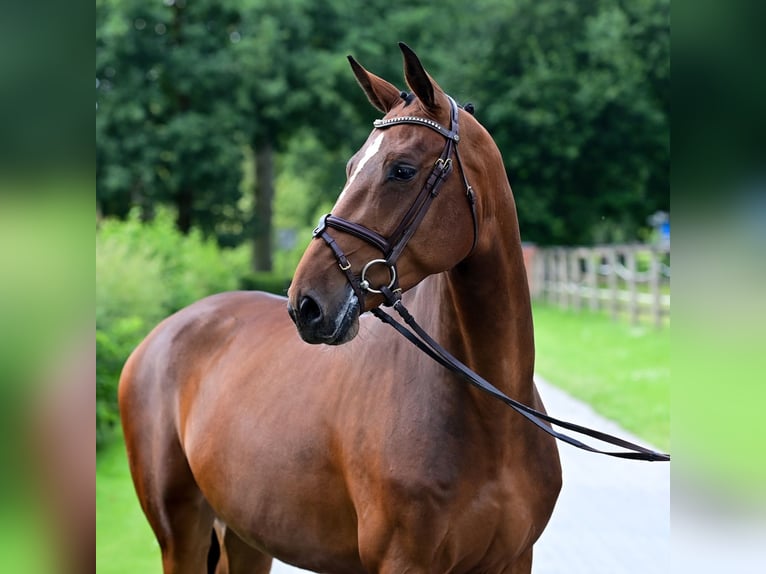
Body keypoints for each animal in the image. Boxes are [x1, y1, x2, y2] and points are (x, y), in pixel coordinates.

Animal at [120, 46, 564, 574]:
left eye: (402, 170)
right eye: (352, 167)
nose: (306, 304)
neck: (493, 420)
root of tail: (158, 337)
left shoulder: (515, 560)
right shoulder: (403, 563)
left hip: (246, 538)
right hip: (180, 533)